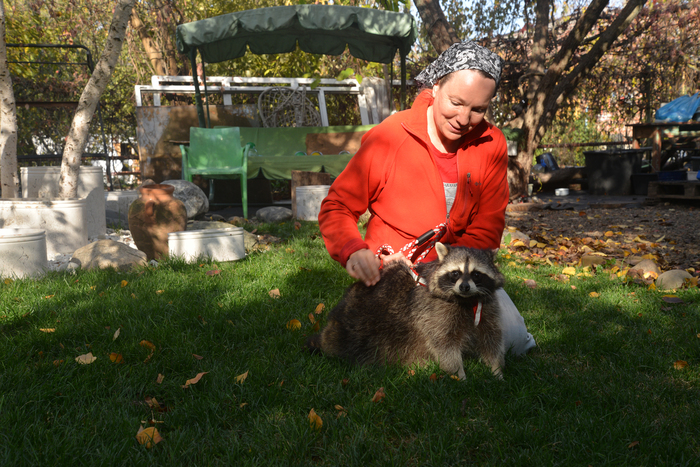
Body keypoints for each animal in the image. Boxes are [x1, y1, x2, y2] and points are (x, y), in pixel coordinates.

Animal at [304, 243, 506, 382]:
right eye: (455, 273)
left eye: (476, 274)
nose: (464, 286)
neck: (467, 300)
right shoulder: (434, 311)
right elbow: (444, 343)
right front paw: (458, 373)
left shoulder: (487, 306)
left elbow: (491, 337)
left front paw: (496, 369)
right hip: (357, 325)